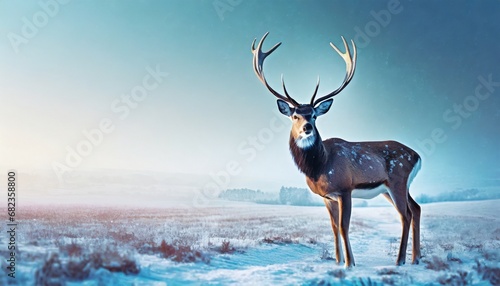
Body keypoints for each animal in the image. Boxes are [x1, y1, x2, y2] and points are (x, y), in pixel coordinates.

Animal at [250, 33, 422, 268]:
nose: (307, 127)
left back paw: (401, 260)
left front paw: (350, 264)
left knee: (405, 215)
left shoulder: (344, 188)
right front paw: (338, 262)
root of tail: (417, 156)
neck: (320, 166)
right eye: (295, 115)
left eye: (314, 115)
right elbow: (332, 228)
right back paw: (416, 258)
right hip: (392, 187)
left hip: (397, 179)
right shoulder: (327, 196)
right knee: (416, 208)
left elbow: (343, 226)